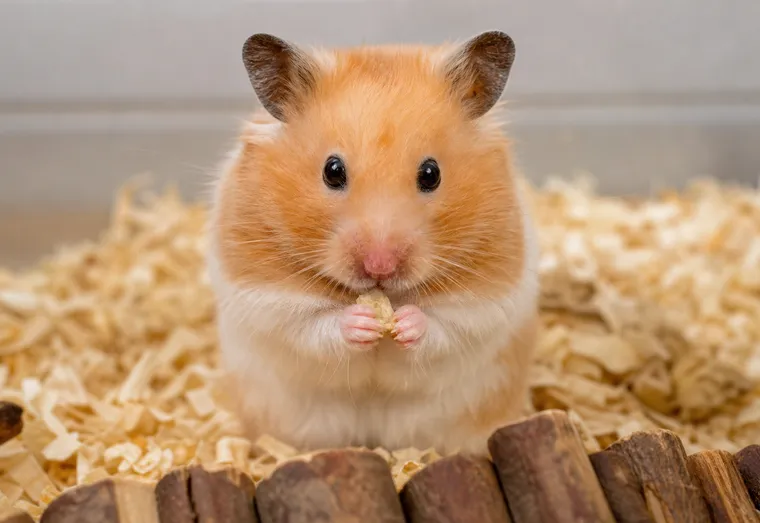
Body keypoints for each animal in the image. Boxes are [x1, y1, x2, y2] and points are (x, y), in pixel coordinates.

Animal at [206, 30, 539, 456]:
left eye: (431, 173)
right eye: (332, 171)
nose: (380, 267)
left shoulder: (488, 298)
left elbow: (447, 325)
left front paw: (407, 322)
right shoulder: (263, 295)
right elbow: (309, 324)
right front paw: (361, 322)